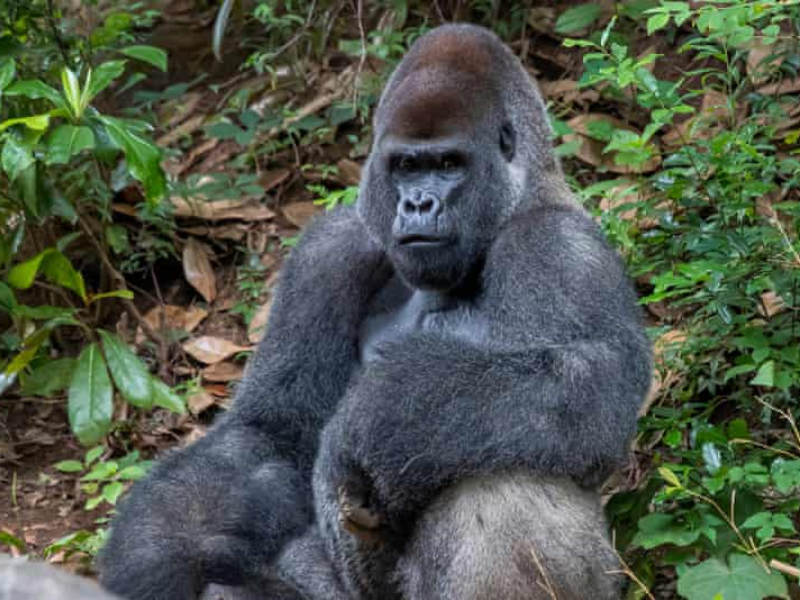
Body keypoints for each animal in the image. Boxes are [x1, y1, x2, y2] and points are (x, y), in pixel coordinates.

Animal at [100, 23, 651, 600]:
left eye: (448, 164)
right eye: (406, 166)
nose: (418, 205)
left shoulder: (559, 246)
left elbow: (590, 387)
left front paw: (377, 414)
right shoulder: (327, 250)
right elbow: (271, 430)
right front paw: (156, 553)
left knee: (504, 472)